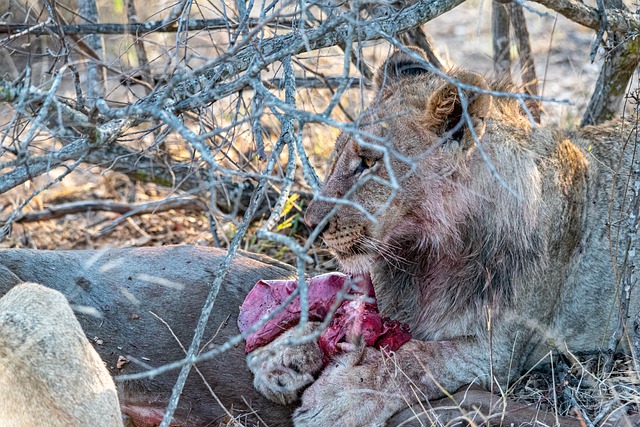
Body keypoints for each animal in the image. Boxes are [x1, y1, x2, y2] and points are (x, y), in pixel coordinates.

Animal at [249, 48, 640, 426]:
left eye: (368, 162)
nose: (310, 221)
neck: (427, 252)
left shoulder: (498, 350)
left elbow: (416, 359)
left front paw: (341, 396)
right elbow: (340, 303)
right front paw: (283, 353)